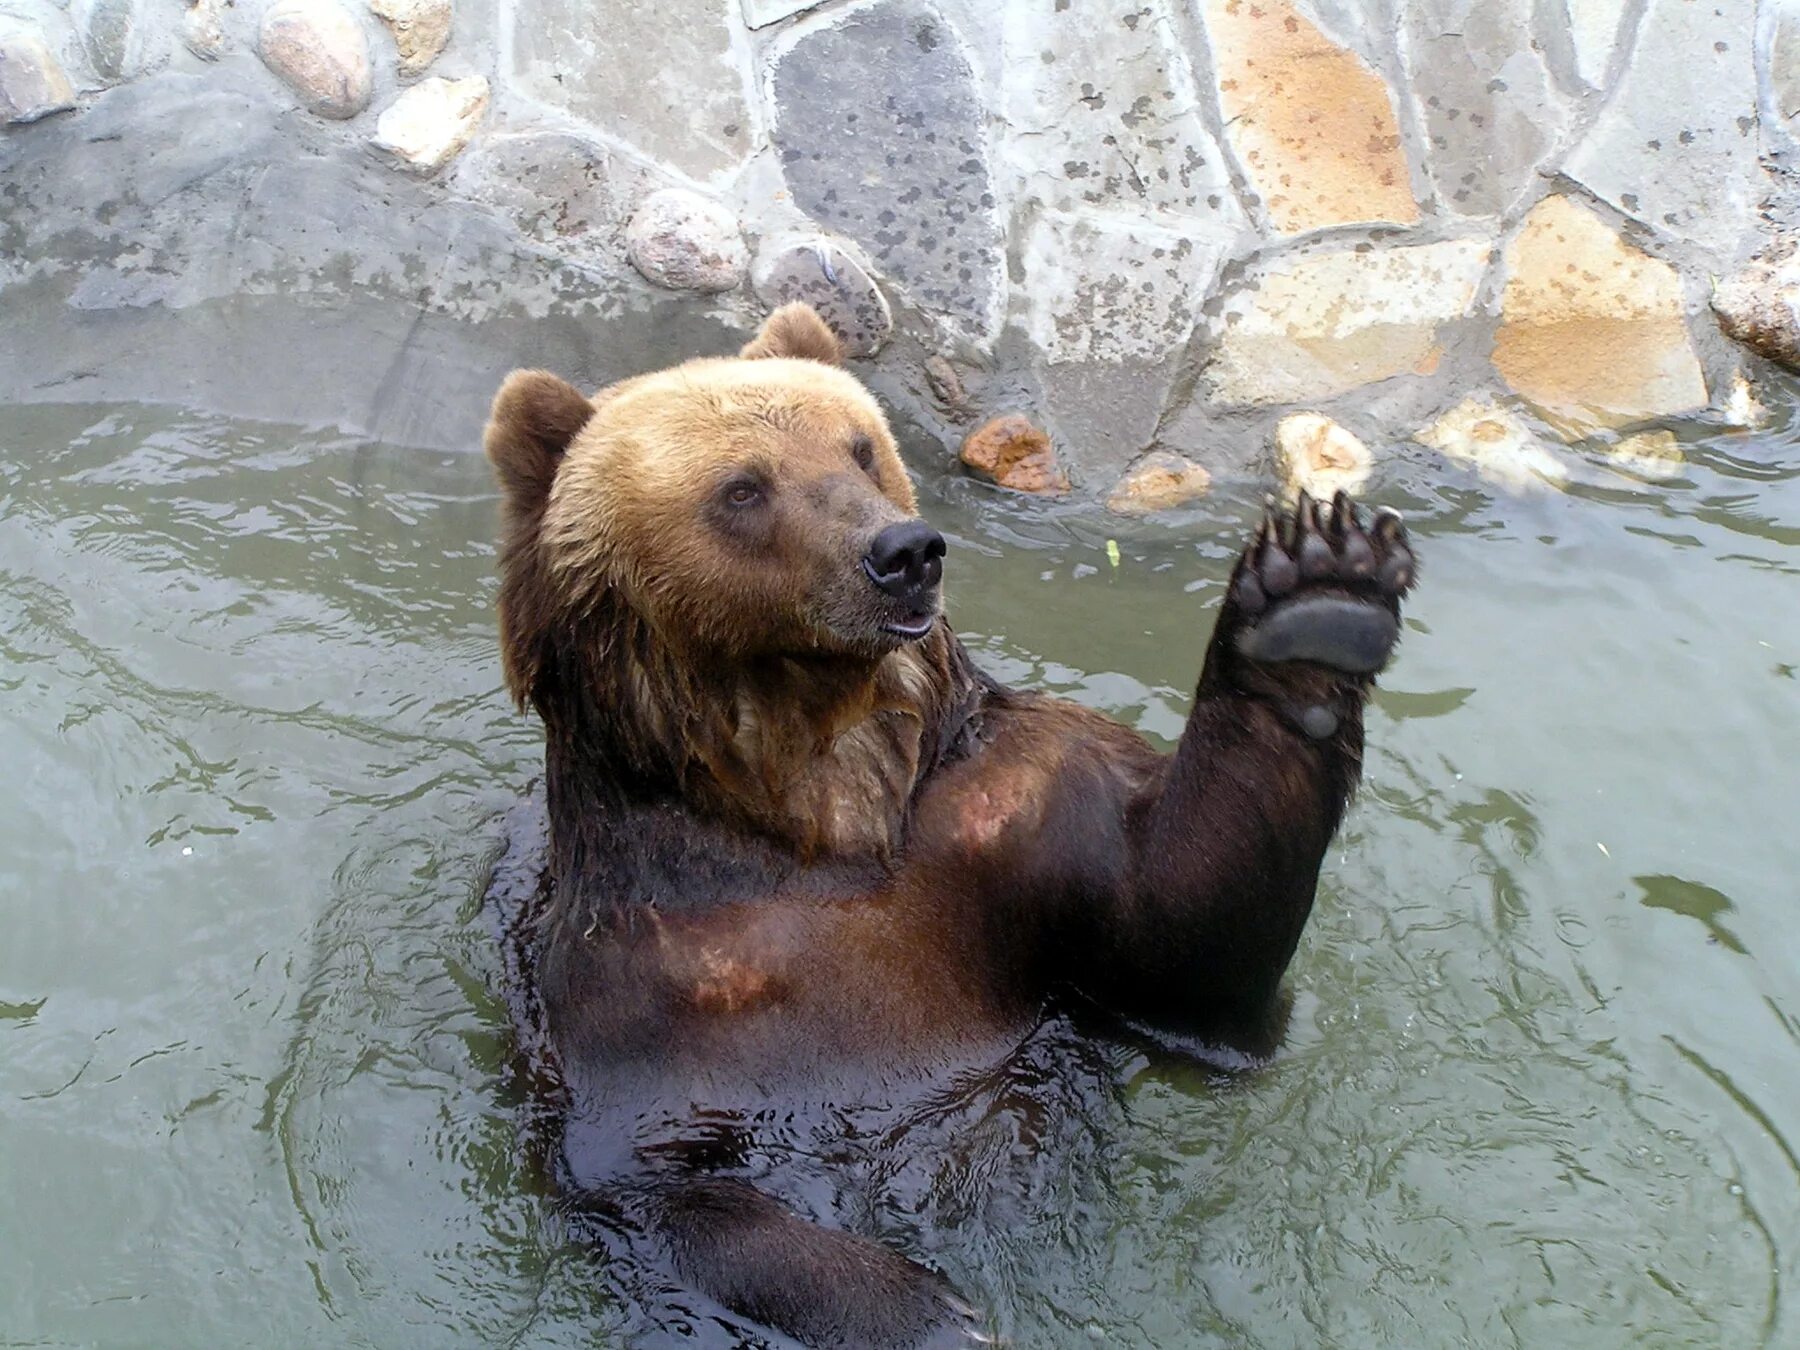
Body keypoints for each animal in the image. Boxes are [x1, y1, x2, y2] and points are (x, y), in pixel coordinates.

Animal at [486, 300, 1411, 1346]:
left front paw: (1316, 600)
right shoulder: (651, 982)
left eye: (859, 447)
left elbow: (1185, 944)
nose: (903, 552)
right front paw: (931, 1310)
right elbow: (655, 1181)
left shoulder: (1008, 815)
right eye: (743, 487)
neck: (823, 801)